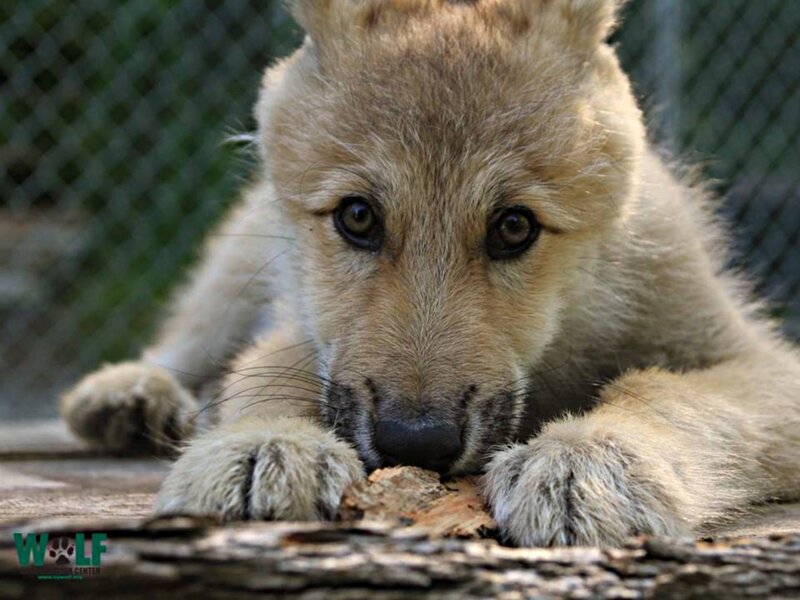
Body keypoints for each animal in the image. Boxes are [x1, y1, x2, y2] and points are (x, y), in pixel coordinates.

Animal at [61, 0, 800, 547]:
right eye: (358, 217)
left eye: (514, 227)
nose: (415, 445)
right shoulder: (304, 326)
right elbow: (268, 372)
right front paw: (263, 441)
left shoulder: (757, 361)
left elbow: (667, 391)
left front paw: (590, 457)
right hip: (240, 263)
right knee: (190, 339)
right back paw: (134, 393)